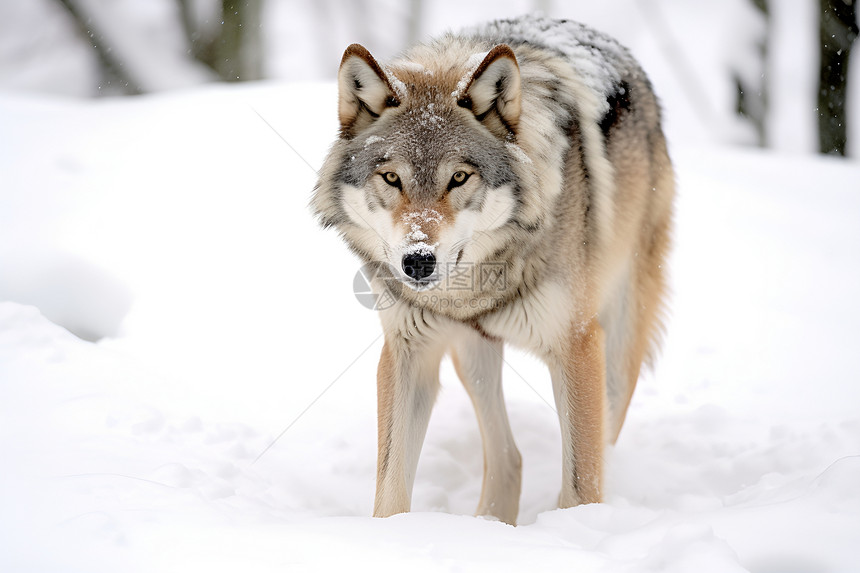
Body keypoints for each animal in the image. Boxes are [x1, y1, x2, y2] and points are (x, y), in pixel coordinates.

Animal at [312, 14, 676, 524]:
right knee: (509, 458)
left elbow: (582, 482)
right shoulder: (407, 351)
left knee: (601, 443)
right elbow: (390, 488)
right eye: (392, 178)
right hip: (472, 354)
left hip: (618, 344)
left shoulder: (577, 346)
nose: (418, 261)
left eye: (459, 178)